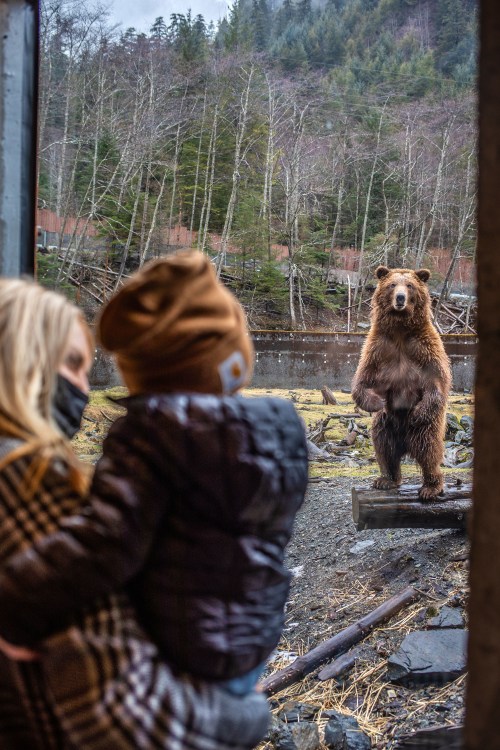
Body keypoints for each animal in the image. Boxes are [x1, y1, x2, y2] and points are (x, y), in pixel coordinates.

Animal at [352, 268, 454, 502]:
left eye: (410, 286)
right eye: (392, 285)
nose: (400, 298)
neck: (399, 329)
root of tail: (406, 446)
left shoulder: (425, 348)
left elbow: (437, 381)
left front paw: (416, 413)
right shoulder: (378, 348)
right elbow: (362, 378)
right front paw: (376, 402)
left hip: (427, 427)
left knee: (429, 450)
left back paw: (431, 487)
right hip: (386, 425)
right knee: (384, 448)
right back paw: (386, 479)